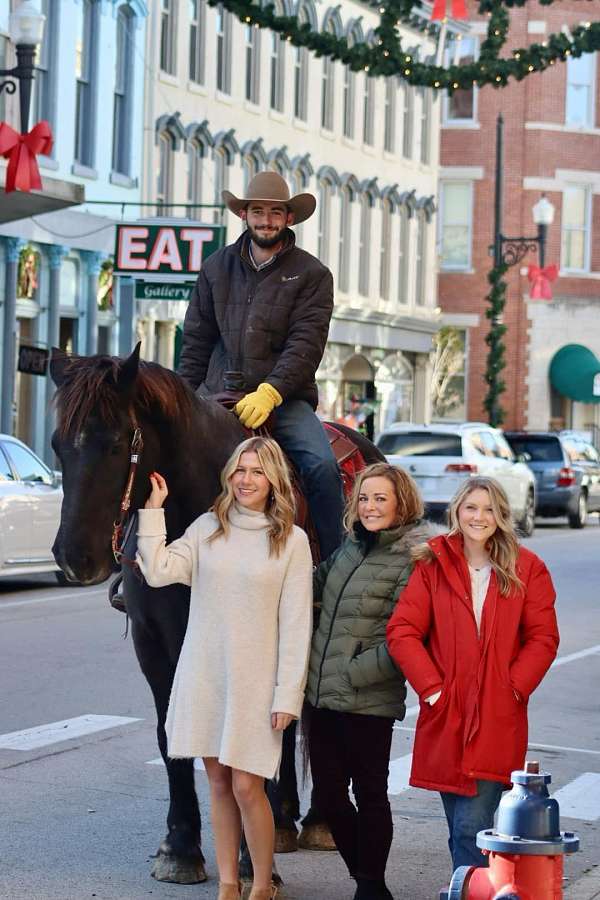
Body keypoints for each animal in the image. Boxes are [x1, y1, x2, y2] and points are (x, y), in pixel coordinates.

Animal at [49, 344, 382, 884]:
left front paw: (250, 861)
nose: (75, 558)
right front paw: (180, 847)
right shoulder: (154, 642)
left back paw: (316, 822)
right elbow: (170, 734)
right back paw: (283, 819)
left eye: (117, 445)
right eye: (59, 446)